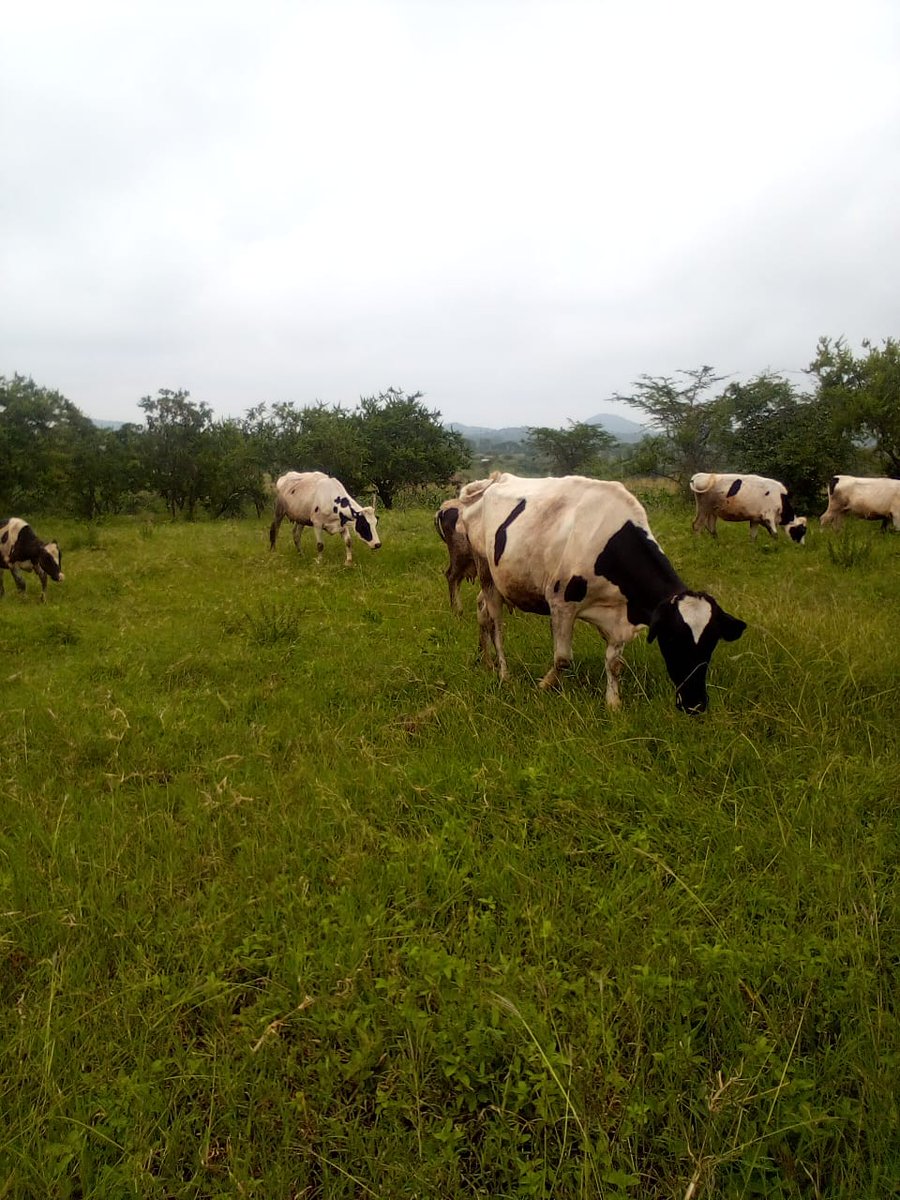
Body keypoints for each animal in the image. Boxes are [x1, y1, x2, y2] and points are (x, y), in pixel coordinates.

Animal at [457, 473, 746, 714]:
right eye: (673, 639)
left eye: (711, 643)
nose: (695, 704)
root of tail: (493, 480)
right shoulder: (561, 603)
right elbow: (562, 659)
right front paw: (543, 686)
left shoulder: (619, 614)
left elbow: (614, 662)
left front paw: (613, 702)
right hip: (486, 572)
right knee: (496, 623)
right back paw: (503, 673)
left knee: (482, 612)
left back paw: (485, 661)